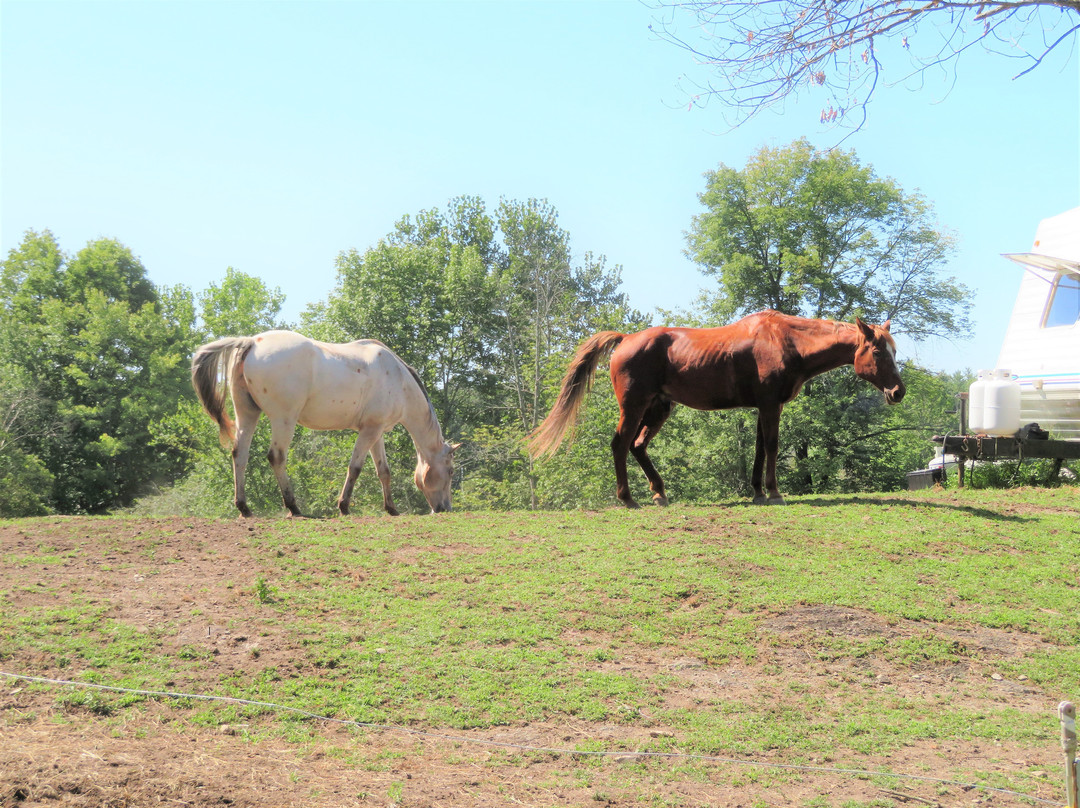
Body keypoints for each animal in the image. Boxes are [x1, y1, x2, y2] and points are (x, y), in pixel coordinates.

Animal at [192, 330, 457, 514]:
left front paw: (391, 509)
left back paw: (244, 507)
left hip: (247, 414)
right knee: (276, 457)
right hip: (283, 420)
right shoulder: (369, 431)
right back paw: (293, 507)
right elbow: (355, 467)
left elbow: (384, 471)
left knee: (240, 455)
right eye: (451, 470)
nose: (444, 508)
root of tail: (251, 342)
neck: (398, 379)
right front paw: (344, 506)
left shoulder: (376, 431)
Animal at [529, 308, 902, 505]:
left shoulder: (762, 407)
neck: (786, 341)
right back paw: (627, 498)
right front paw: (774, 492)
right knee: (621, 444)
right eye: (878, 351)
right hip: (634, 407)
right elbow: (772, 446)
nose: (898, 392)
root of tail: (626, 339)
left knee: (637, 445)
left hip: (659, 408)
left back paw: (659, 493)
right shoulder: (770, 405)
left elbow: (759, 449)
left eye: (893, 351)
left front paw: (757, 492)